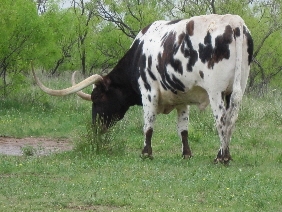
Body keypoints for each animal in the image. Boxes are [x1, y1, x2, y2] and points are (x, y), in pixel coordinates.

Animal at [32, 14, 253, 163]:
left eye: (97, 97)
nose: (95, 129)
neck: (139, 53)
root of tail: (235, 23)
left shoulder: (149, 93)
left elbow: (148, 125)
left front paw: (146, 153)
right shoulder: (181, 98)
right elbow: (183, 129)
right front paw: (186, 154)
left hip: (216, 91)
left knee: (221, 120)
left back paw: (221, 157)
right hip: (235, 89)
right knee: (231, 119)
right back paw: (225, 155)